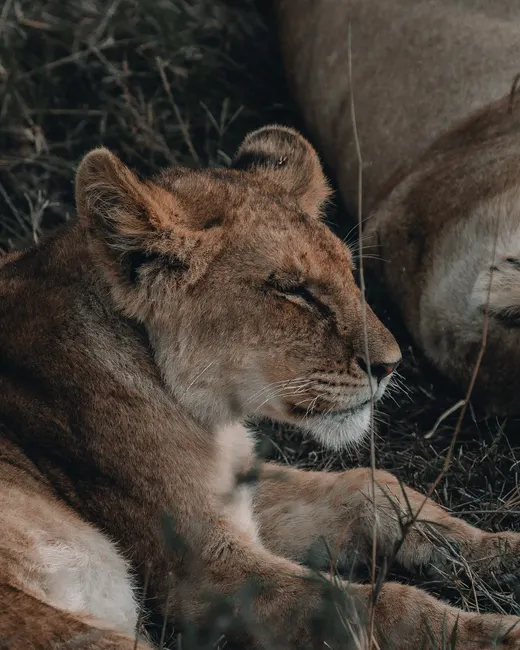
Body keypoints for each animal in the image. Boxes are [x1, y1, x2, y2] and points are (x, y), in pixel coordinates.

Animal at [1, 125, 520, 649]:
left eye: (348, 272)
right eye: (293, 290)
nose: (392, 365)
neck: (208, 417)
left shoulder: (240, 490)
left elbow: (367, 489)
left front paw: (505, 553)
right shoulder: (205, 574)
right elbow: (376, 605)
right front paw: (496, 633)